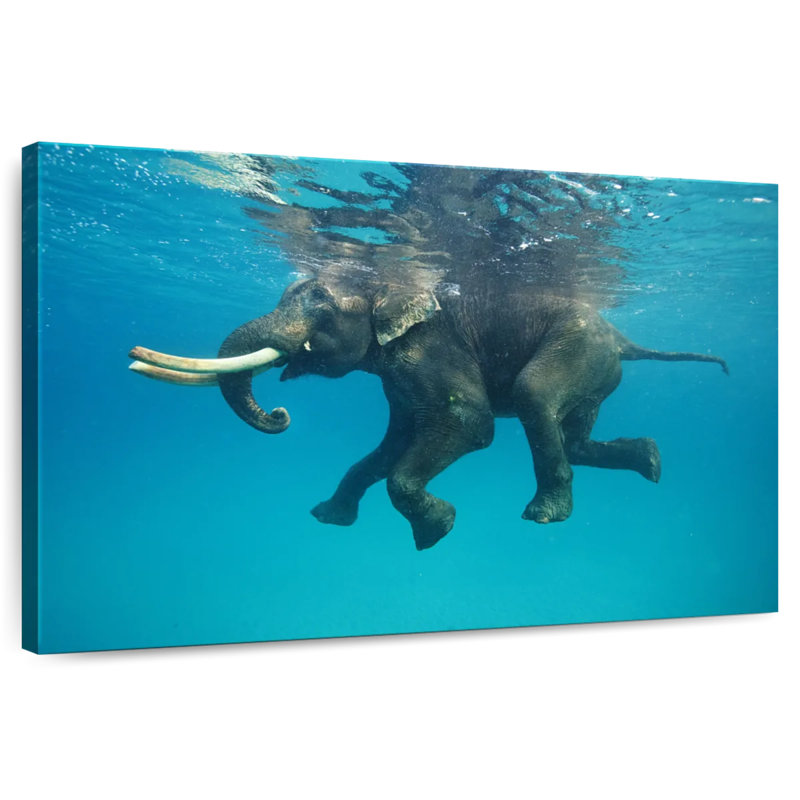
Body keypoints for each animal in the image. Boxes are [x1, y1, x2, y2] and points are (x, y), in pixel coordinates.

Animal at [129, 274, 728, 550]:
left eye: (320, 303)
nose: (279, 413)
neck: (386, 286)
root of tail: (626, 338)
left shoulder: (432, 350)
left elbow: (468, 425)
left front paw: (435, 530)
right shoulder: (396, 377)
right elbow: (390, 445)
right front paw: (327, 518)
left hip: (579, 349)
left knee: (535, 396)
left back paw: (544, 515)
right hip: (597, 369)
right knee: (573, 435)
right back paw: (651, 461)